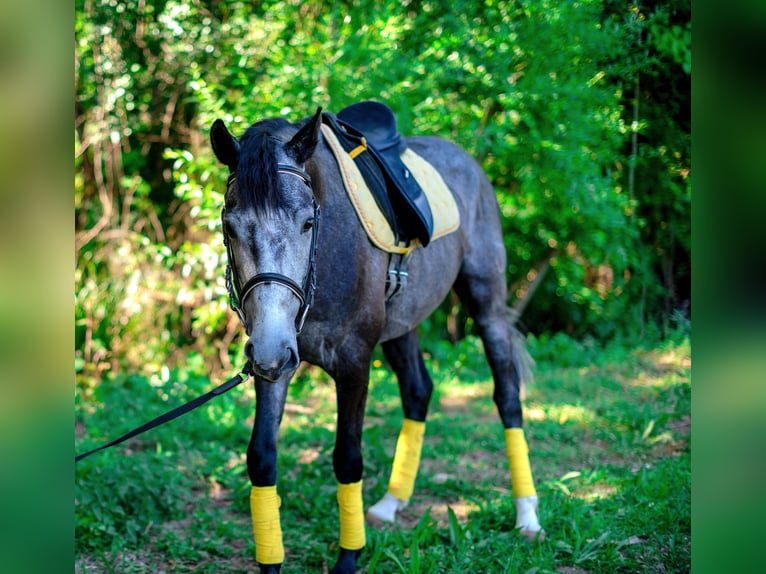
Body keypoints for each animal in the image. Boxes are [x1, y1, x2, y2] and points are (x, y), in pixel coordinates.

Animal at [210, 104, 544, 574]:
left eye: (308, 222)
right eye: (230, 224)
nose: (271, 348)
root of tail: (470, 162)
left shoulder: (352, 362)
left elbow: (348, 459)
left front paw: (349, 557)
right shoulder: (275, 363)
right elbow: (261, 458)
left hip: (488, 305)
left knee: (508, 398)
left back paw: (527, 514)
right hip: (400, 325)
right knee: (418, 392)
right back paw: (390, 503)